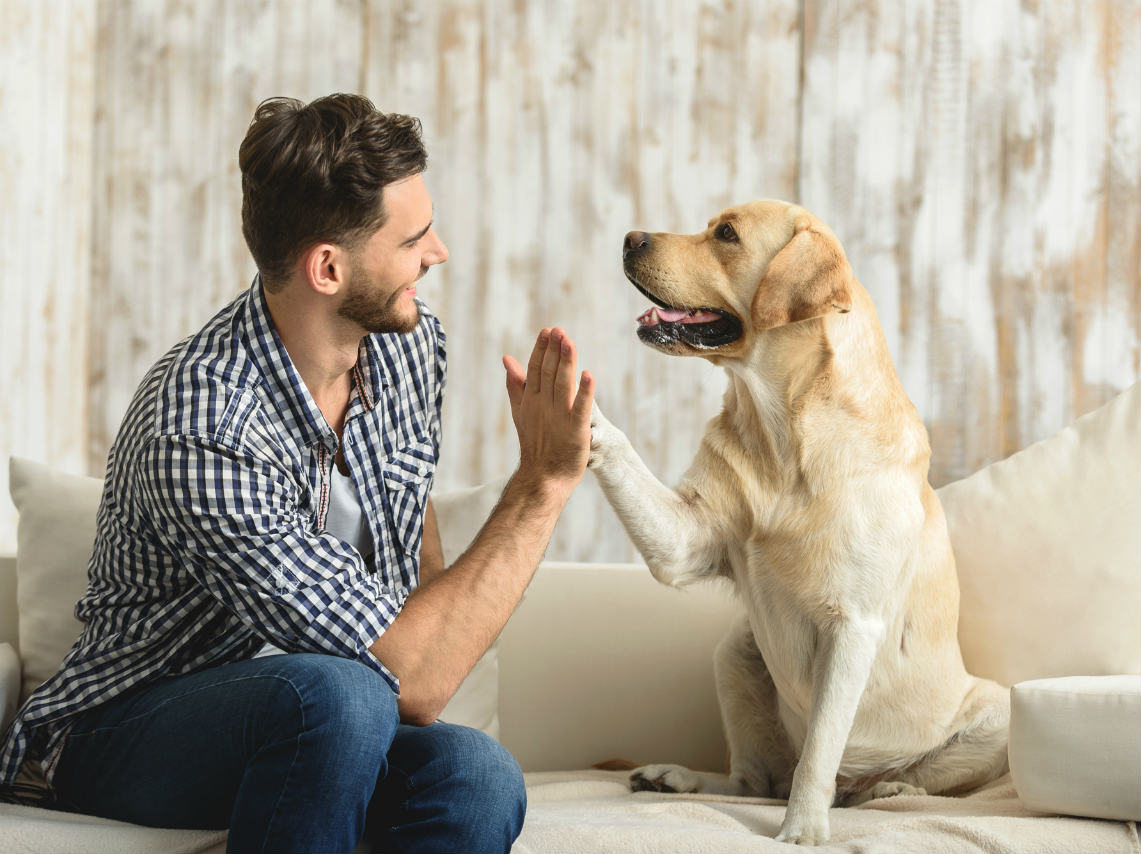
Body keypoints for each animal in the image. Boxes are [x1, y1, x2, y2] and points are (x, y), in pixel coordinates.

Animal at [588, 202, 1008, 849]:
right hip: (736, 652)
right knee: (753, 780)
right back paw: (676, 777)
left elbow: (820, 751)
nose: (631, 238)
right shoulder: (684, 539)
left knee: (885, 780)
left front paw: (804, 828)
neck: (783, 431)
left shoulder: (852, 627)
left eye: (727, 234)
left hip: (996, 714)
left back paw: (886, 788)